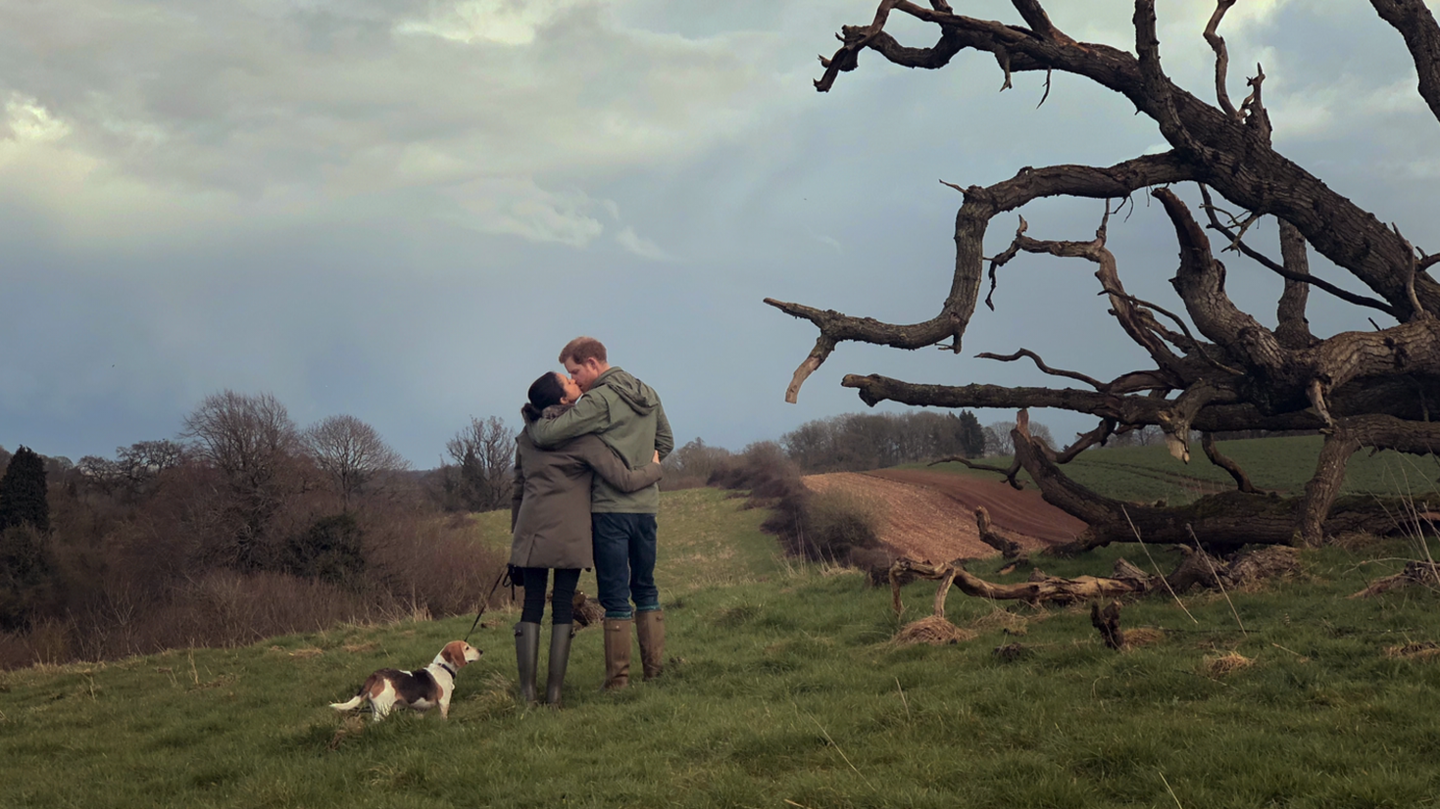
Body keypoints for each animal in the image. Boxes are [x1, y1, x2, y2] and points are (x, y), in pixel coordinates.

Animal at [328, 636, 480, 716]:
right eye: (466, 648)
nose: (481, 651)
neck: (443, 667)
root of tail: (375, 675)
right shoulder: (444, 703)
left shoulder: (420, 709)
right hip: (382, 709)